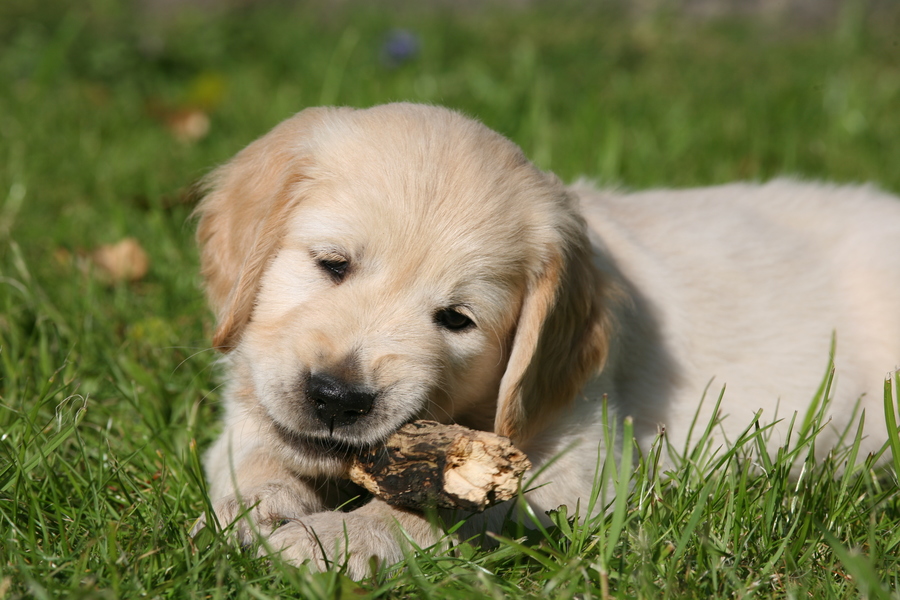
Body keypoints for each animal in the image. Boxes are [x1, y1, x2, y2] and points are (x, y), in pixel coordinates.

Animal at [193, 102, 900, 576]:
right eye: (332, 265)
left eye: (457, 319)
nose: (338, 398)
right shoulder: (248, 407)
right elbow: (251, 458)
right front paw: (253, 510)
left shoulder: (578, 460)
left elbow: (438, 510)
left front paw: (332, 543)